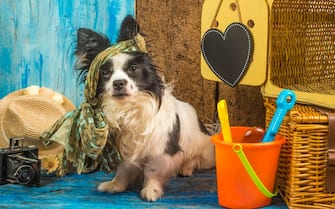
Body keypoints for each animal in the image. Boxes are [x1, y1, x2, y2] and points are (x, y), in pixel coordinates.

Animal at [74, 15, 215, 202]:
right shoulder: (124, 149)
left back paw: (186, 168)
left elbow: (152, 171)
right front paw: (116, 185)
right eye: (105, 73)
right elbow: (124, 170)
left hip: (202, 149)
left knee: (195, 159)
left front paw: (151, 190)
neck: (128, 109)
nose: (119, 83)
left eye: (133, 68)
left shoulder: (160, 149)